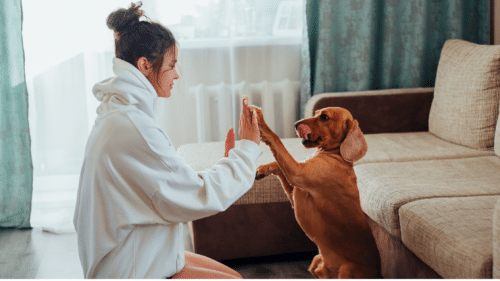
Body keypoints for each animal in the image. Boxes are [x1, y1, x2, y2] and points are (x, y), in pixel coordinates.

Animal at [252, 105, 380, 278]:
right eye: (316, 113)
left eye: (324, 117)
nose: (295, 124)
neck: (336, 155)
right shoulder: (295, 191)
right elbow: (277, 163)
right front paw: (262, 169)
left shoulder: (297, 173)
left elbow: (276, 140)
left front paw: (260, 120)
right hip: (316, 261)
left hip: (347, 271)